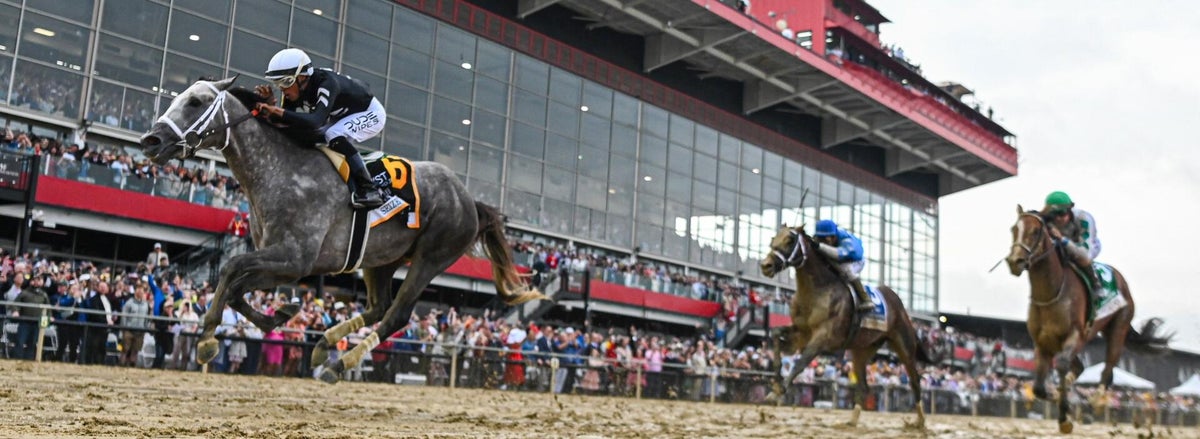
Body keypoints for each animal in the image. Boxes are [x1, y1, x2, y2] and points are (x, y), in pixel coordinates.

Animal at [138, 77, 543, 383]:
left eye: (195, 102)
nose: (151, 140)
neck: (279, 171)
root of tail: (469, 199)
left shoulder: (294, 259)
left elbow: (230, 269)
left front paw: (208, 338)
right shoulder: (283, 263)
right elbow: (237, 288)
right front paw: (280, 314)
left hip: (432, 257)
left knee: (397, 314)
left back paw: (340, 362)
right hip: (381, 259)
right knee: (379, 306)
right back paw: (323, 346)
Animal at [760, 224, 929, 429]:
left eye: (790, 240)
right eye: (773, 238)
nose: (766, 265)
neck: (818, 290)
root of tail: (898, 303)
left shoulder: (822, 337)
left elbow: (801, 362)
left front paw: (778, 390)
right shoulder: (801, 333)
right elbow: (776, 334)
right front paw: (774, 383)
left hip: (904, 347)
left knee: (915, 381)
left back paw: (920, 421)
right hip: (861, 351)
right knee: (863, 385)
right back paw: (852, 421)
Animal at [1005, 206, 1170, 433]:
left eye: (1036, 231)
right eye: (1014, 229)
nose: (1015, 261)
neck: (1051, 293)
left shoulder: (1075, 335)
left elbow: (1062, 365)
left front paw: (1064, 416)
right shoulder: (1042, 342)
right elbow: (1038, 387)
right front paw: (1056, 396)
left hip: (1117, 328)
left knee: (1108, 370)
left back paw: (1096, 402)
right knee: (1080, 368)